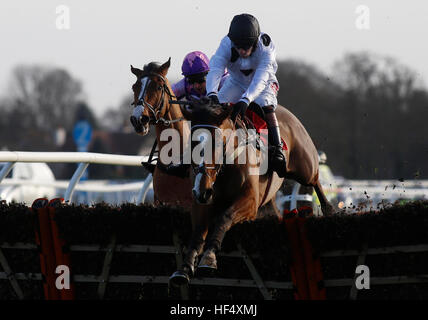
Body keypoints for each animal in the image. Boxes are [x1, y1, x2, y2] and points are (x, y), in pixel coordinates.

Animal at [168, 99, 334, 286]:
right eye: (192, 144)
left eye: (218, 143)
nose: (203, 190)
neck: (226, 167)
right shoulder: (201, 201)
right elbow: (198, 232)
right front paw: (184, 268)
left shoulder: (249, 201)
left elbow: (225, 217)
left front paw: (209, 258)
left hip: (305, 168)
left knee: (315, 179)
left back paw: (328, 209)